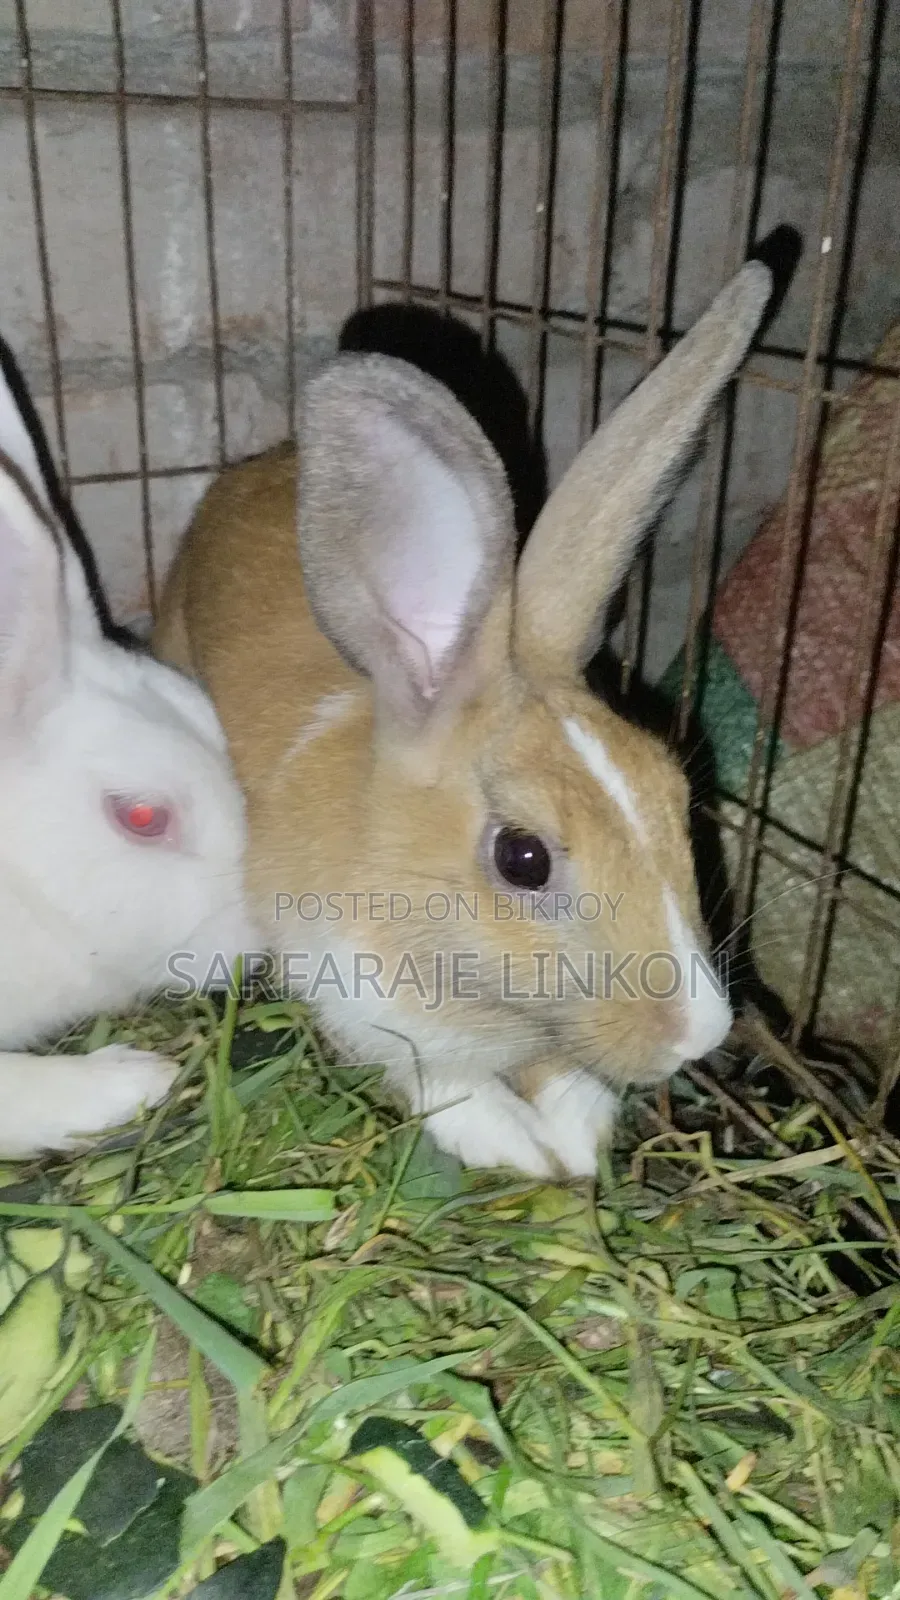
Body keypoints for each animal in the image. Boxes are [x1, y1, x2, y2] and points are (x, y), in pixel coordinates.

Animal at [153, 261, 772, 1179]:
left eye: (676, 797)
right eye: (523, 858)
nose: (698, 1036)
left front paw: (576, 1134)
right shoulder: (370, 1009)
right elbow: (445, 1085)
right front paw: (520, 1148)